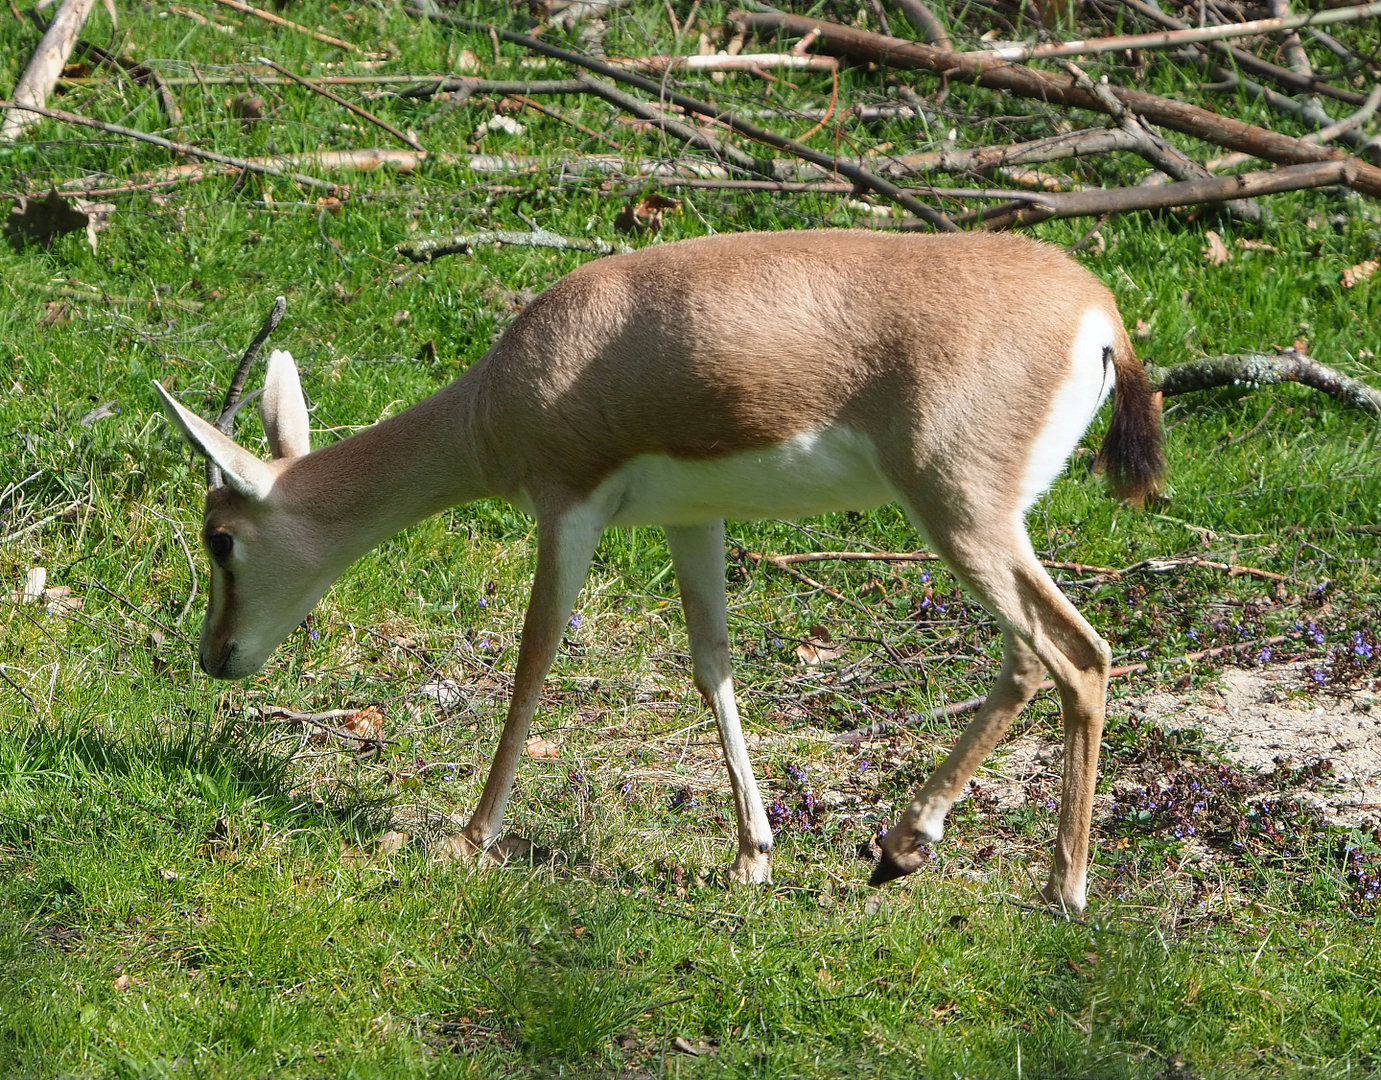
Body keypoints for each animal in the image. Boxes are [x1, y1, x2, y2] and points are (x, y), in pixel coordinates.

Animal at [154, 229, 1164, 912]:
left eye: (219, 538)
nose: (214, 656)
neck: (509, 389)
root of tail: (1099, 315)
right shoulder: (690, 518)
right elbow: (711, 663)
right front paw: (753, 853)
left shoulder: (567, 507)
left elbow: (534, 661)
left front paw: (469, 838)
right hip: (977, 523)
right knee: (1050, 657)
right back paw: (940, 854)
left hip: (962, 515)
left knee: (1066, 655)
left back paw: (1018, 877)